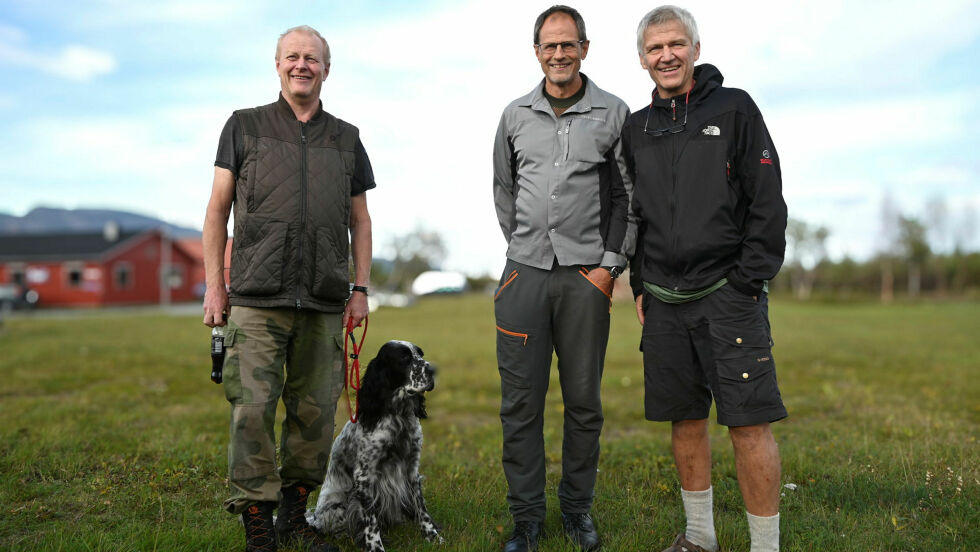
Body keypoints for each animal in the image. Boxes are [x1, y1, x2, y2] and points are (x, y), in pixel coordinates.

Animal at [308, 338, 442, 548]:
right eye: (404, 357)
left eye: (420, 354)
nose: (433, 370)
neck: (398, 415)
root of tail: (314, 519)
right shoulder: (364, 476)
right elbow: (370, 521)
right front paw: (375, 546)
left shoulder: (412, 469)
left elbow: (421, 507)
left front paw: (432, 535)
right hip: (338, 508)